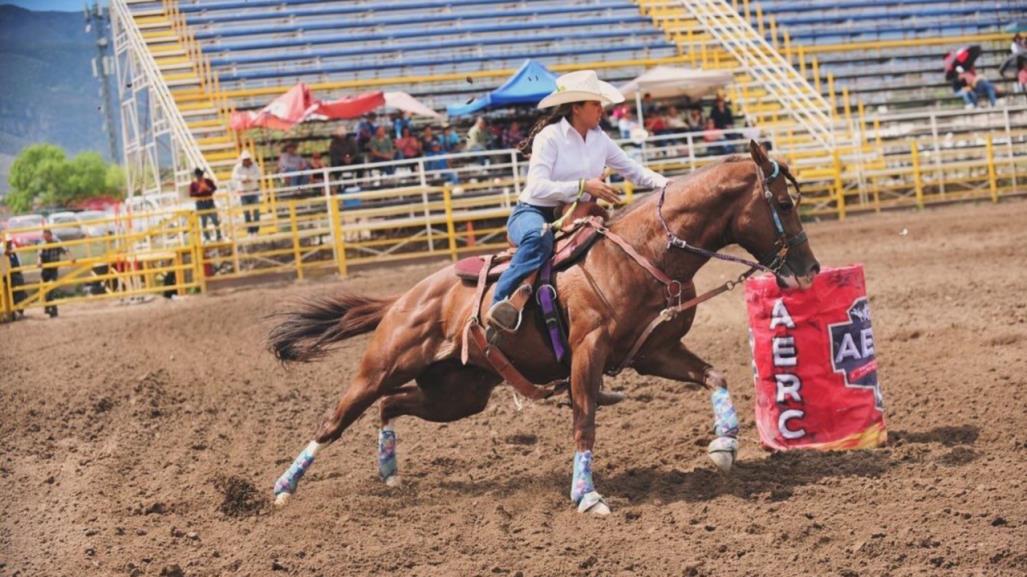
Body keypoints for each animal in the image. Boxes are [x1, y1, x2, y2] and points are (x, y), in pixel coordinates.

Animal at [271, 139, 817, 511]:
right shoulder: (587, 353)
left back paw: (388, 472)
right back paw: (283, 488)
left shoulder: (653, 353)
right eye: (783, 204)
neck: (640, 254)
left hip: (458, 393)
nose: (809, 269)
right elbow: (584, 421)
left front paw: (724, 446)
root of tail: (406, 297)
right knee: (336, 420)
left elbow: (715, 376)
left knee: (391, 406)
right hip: (382, 366)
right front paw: (587, 495)